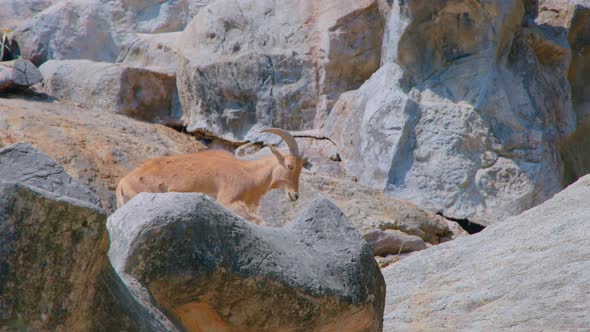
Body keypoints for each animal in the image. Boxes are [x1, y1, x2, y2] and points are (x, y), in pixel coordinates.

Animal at [114, 128, 306, 224]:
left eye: (301, 168)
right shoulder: (227, 200)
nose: (295, 195)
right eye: (290, 166)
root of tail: (122, 183)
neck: (247, 172)